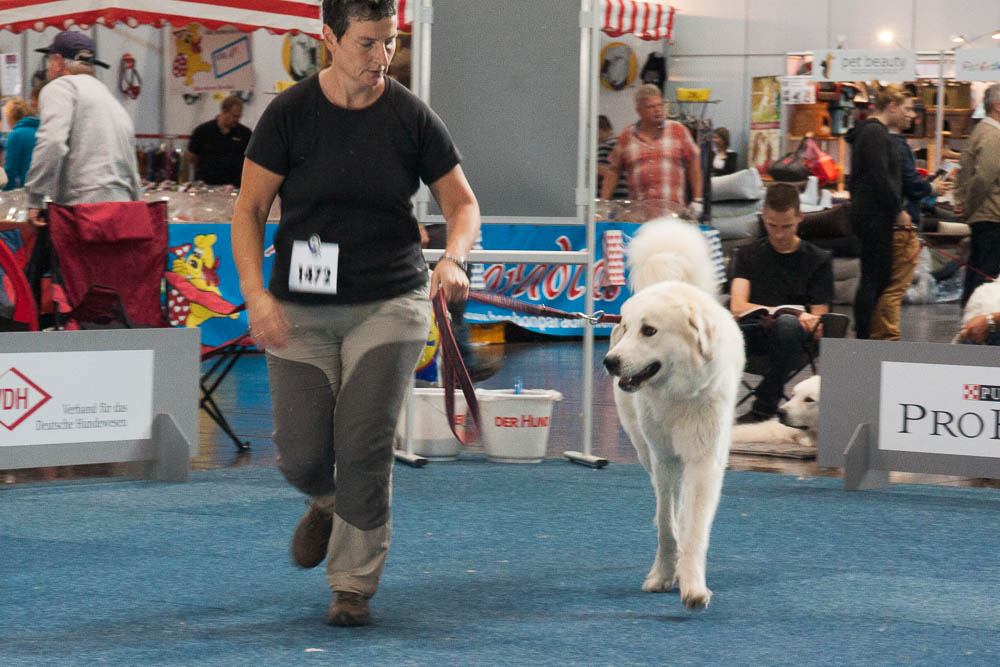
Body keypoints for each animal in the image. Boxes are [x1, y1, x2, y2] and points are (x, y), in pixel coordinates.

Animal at [600, 220, 744, 612]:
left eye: (649, 330)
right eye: (627, 328)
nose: (609, 362)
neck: (678, 395)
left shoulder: (703, 462)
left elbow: (693, 529)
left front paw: (692, 586)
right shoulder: (664, 459)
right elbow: (668, 524)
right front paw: (663, 574)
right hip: (644, 451)